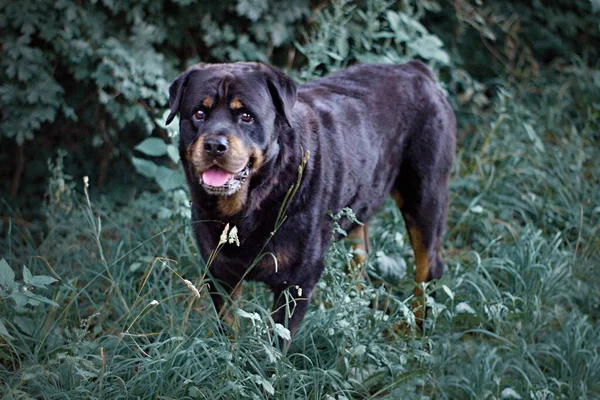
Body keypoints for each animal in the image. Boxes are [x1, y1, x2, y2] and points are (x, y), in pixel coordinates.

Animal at [164, 61, 454, 346]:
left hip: (424, 196)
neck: (250, 205)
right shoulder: (219, 272)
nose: (215, 144)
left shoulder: (298, 280)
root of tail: (415, 68)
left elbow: (277, 341)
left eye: (246, 116)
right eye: (199, 113)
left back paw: (414, 332)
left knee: (428, 268)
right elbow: (229, 330)